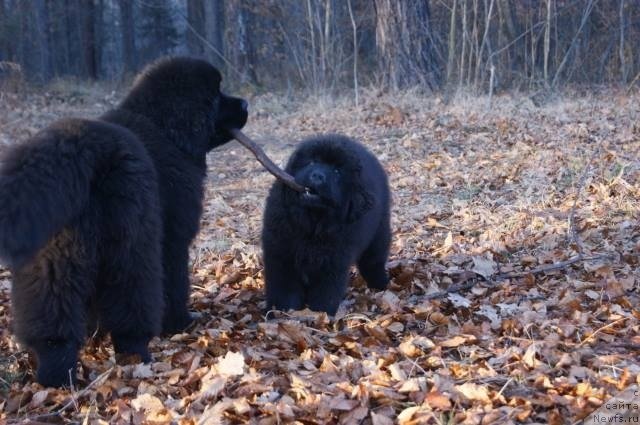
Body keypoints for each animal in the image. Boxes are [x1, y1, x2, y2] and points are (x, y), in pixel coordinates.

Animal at [0, 57, 248, 388]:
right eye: (216, 95)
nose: (245, 103)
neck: (165, 129)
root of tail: (81, 147)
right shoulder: (173, 240)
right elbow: (175, 282)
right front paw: (179, 323)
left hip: (51, 260)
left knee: (52, 320)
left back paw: (56, 377)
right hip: (131, 244)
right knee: (131, 302)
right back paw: (135, 353)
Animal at [260, 134, 390, 314]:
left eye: (337, 172)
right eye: (312, 162)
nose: (317, 176)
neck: (312, 225)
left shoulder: (333, 264)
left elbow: (325, 295)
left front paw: (319, 316)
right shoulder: (281, 256)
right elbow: (283, 290)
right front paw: (281, 313)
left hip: (378, 235)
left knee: (373, 262)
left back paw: (381, 284)